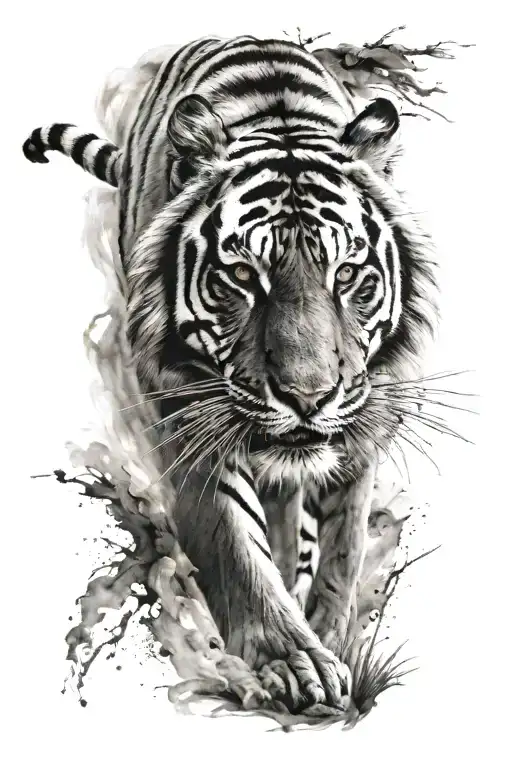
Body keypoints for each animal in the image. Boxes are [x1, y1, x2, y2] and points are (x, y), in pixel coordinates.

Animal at [23, 35, 438, 712]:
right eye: (243, 276)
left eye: (347, 274)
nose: (307, 397)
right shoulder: (187, 407)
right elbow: (234, 540)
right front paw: (293, 660)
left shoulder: (362, 421)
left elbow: (343, 547)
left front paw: (331, 640)